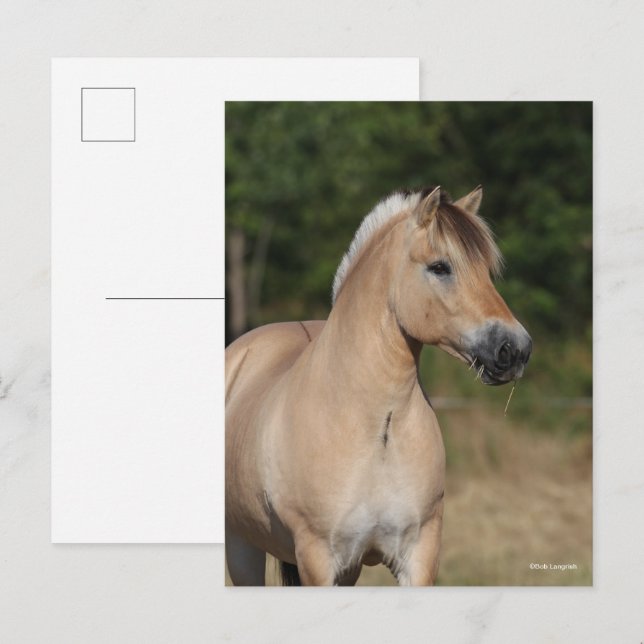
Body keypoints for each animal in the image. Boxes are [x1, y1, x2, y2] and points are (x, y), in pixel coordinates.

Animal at [225, 185, 532, 586]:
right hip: (241, 548)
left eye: (486, 271)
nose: (516, 349)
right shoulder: (317, 560)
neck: (376, 428)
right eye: (440, 267)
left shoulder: (417, 556)